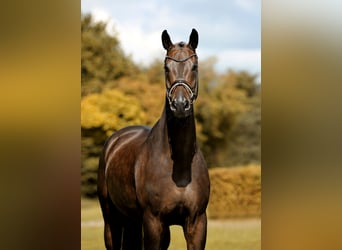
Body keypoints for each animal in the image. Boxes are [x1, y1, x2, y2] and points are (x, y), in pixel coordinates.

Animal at [97, 28, 210, 248]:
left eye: (194, 66)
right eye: (166, 68)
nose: (180, 105)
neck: (179, 166)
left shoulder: (197, 223)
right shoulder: (153, 222)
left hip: (133, 221)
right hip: (111, 221)